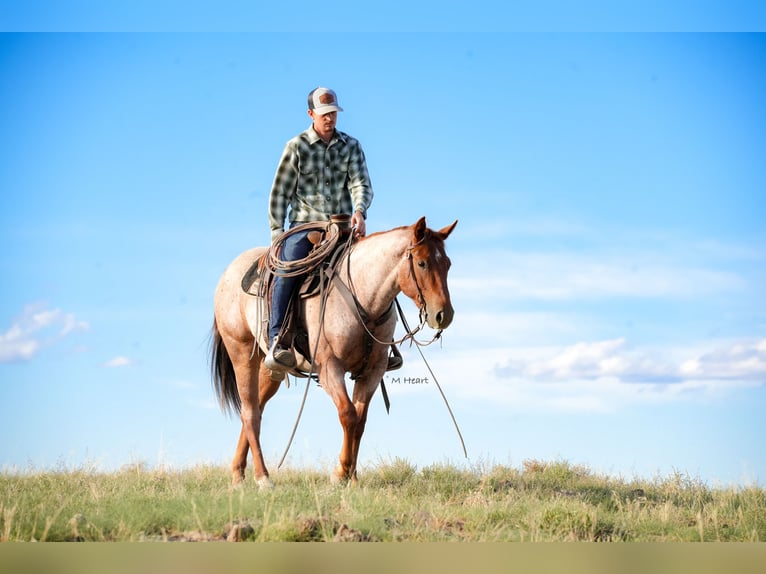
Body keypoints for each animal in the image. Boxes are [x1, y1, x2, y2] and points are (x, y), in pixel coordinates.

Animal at [210, 216, 457, 488]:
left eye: (447, 264)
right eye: (422, 263)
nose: (443, 315)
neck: (361, 296)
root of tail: (229, 272)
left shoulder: (372, 372)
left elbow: (360, 420)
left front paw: (353, 478)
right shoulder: (330, 368)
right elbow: (348, 414)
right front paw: (340, 474)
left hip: (270, 367)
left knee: (254, 407)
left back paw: (237, 473)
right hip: (242, 353)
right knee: (250, 412)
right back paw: (263, 478)